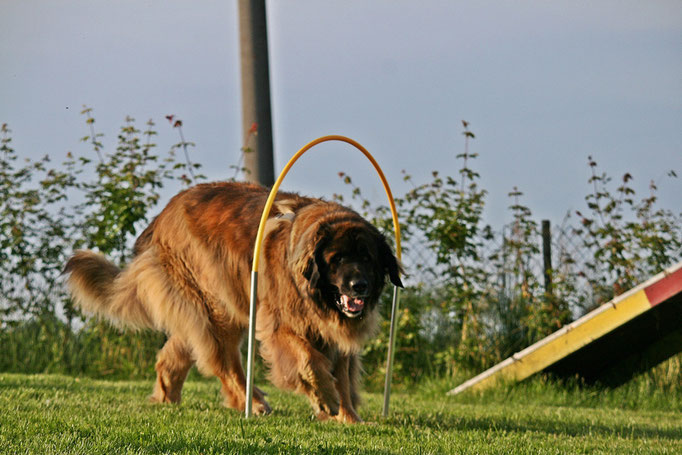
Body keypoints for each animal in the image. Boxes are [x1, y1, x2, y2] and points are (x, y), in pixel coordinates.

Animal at [65, 182, 398, 424]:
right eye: (337, 259)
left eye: (367, 258)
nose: (359, 286)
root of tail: (164, 215)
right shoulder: (280, 324)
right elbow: (309, 360)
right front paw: (325, 399)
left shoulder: (335, 333)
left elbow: (343, 376)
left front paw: (349, 417)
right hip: (217, 306)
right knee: (224, 361)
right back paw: (252, 403)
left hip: (205, 307)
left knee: (180, 351)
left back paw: (167, 397)